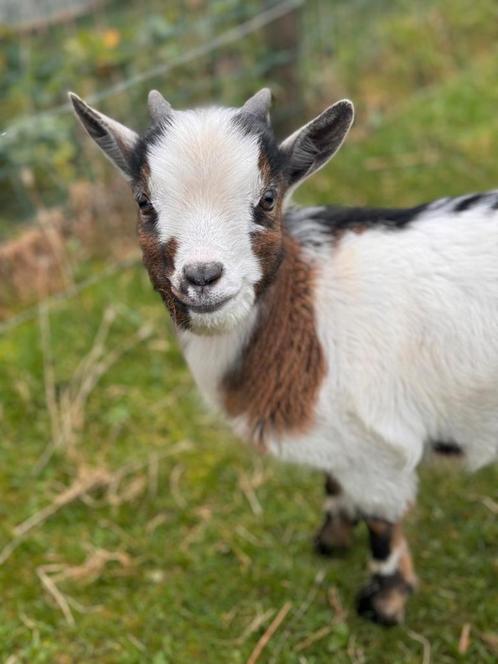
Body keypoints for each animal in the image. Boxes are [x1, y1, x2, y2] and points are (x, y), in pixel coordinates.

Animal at [70, 89, 498, 628]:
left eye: (268, 198)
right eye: (143, 202)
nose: (202, 276)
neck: (311, 311)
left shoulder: (379, 445)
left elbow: (381, 522)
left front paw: (384, 601)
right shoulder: (343, 438)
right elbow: (333, 481)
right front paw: (331, 537)